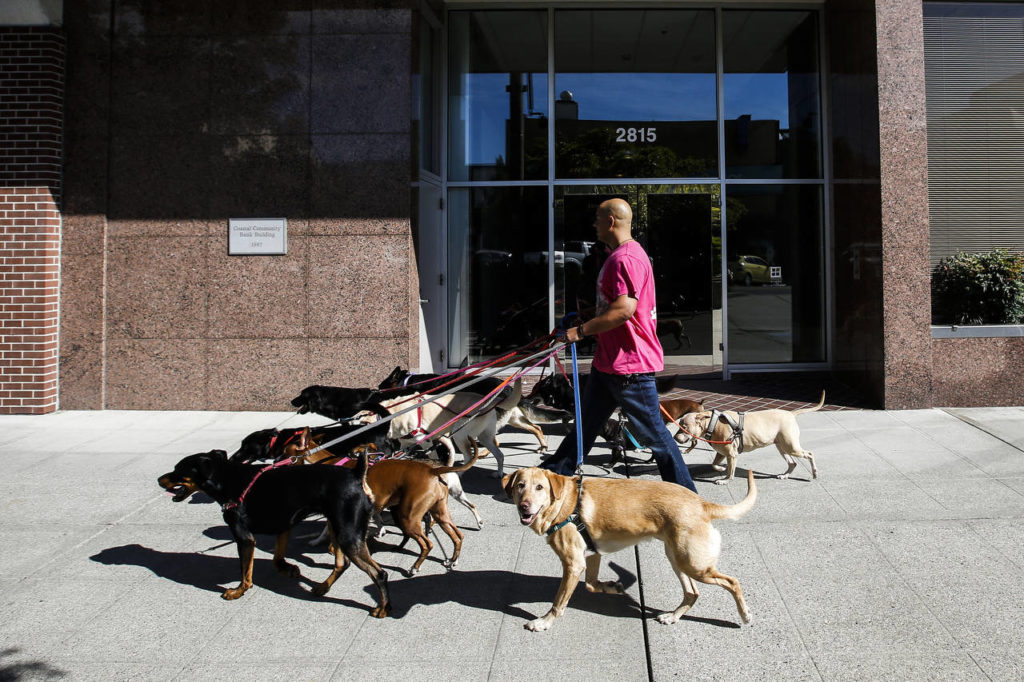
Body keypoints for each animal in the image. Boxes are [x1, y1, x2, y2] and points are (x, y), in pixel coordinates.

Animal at [157, 446, 389, 614]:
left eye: (178, 471)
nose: (159, 479)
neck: (227, 479)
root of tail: (357, 474)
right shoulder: (283, 525)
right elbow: (277, 558)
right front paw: (289, 569)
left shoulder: (244, 537)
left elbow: (245, 571)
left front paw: (238, 591)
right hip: (338, 527)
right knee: (342, 563)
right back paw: (322, 587)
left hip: (348, 533)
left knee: (379, 573)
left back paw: (383, 608)